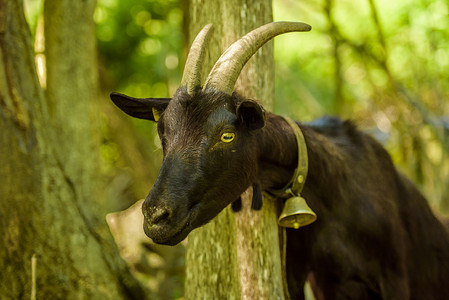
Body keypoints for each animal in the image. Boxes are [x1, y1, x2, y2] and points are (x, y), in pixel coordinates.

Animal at [111, 22, 448, 298]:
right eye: (163, 132)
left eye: (227, 136)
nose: (156, 217)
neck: (333, 198)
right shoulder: (301, 275)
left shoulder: (395, 275)